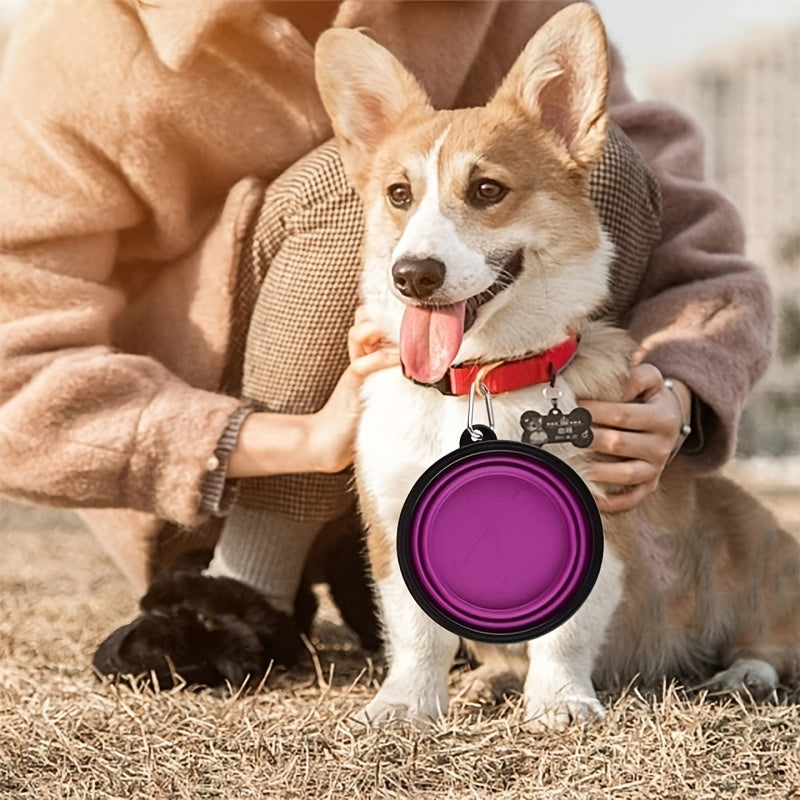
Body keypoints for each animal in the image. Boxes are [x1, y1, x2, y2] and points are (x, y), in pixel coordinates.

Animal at [314, 3, 800, 728]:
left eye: (487, 190)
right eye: (399, 194)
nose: (412, 275)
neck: (481, 380)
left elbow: (565, 631)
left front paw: (561, 704)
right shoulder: (394, 514)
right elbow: (417, 634)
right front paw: (406, 705)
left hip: (760, 560)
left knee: (769, 640)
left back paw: (743, 673)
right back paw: (488, 680)